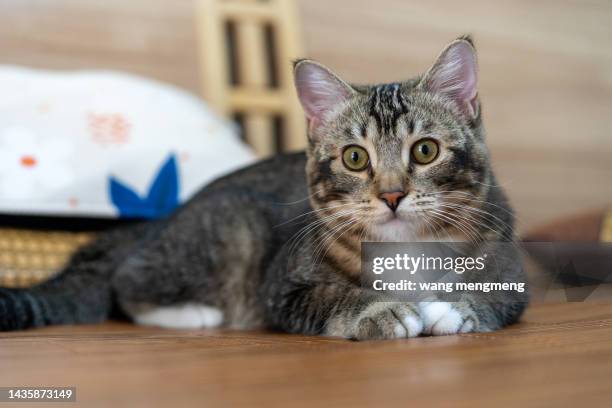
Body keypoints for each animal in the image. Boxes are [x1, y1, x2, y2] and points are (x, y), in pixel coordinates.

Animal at [0, 36, 524, 340]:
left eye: (426, 151)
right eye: (355, 158)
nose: (392, 195)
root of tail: (148, 227)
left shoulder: (507, 267)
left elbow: (495, 297)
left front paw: (452, 308)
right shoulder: (284, 286)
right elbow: (333, 296)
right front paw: (382, 310)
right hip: (234, 228)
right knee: (127, 285)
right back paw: (195, 314)